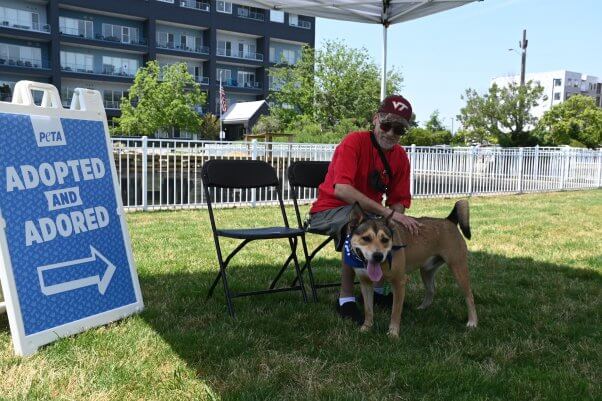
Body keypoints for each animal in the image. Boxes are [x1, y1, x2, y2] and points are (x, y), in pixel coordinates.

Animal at [344, 198, 476, 336]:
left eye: (385, 239)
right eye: (366, 238)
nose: (378, 256)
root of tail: (449, 220)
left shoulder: (399, 283)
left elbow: (395, 312)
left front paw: (393, 333)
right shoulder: (366, 284)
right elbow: (368, 310)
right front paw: (366, 327)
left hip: (458, 268)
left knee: (469, 296)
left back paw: (472, 322)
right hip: (426, 270)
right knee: (431, 289)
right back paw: (422, 308)